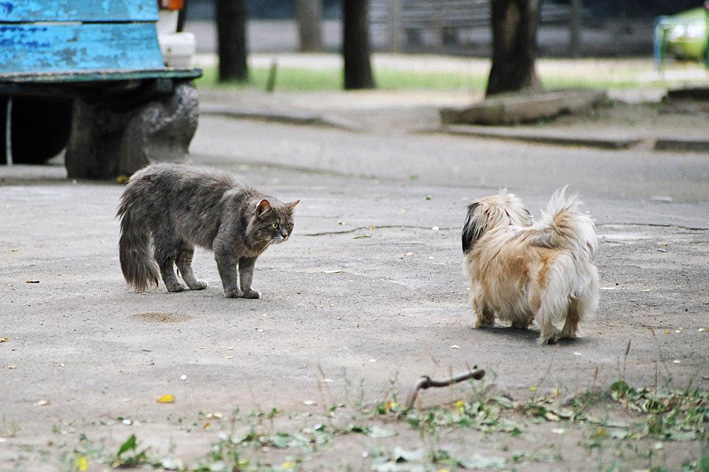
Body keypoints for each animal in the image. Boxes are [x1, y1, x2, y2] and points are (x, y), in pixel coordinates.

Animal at [117, 164, 298, 298]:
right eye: (275, 225)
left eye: (289, 225)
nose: (284, 235)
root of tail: (140, 175)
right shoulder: (224, 249)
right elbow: (230, 274)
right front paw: (232, 291)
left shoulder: (249, 258)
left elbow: (246, 276)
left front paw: (248, 292)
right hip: (167, 235)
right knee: (164, 261)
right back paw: (174, 285)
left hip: (185, 239)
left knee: (183, 263)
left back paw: (195, 284)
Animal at [462, 188, 600, 342]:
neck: (502, 224)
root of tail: (565, 245)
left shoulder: (480, 288)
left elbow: (481, 306)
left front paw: (481, 323)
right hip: (578, 296)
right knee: (573, 316)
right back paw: (567, 334)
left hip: (539, 294)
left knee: (546, 316)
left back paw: (548, 337)